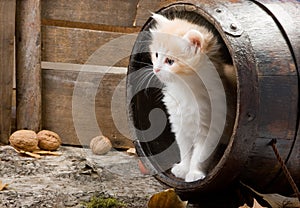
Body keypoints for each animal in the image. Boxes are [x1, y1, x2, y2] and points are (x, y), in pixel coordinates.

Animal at [149, 13, 232, 182]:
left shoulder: (211, 128)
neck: (186, 90)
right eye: (156, 55)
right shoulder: (180, 125)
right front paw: (183, 168)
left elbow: (200, 155)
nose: (156, 69)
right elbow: (185, 151)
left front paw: (194, 173)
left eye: (170, 61)